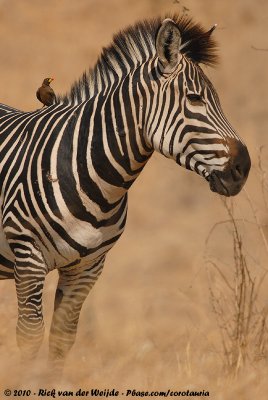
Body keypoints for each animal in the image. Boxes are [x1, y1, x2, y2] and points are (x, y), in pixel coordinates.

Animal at [0, 15, 251, 376]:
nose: (244, 167)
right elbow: (30, 338)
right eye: (194, 99)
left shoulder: (88, 267)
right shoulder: (28, 257)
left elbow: (62, 340)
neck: (94, 172)